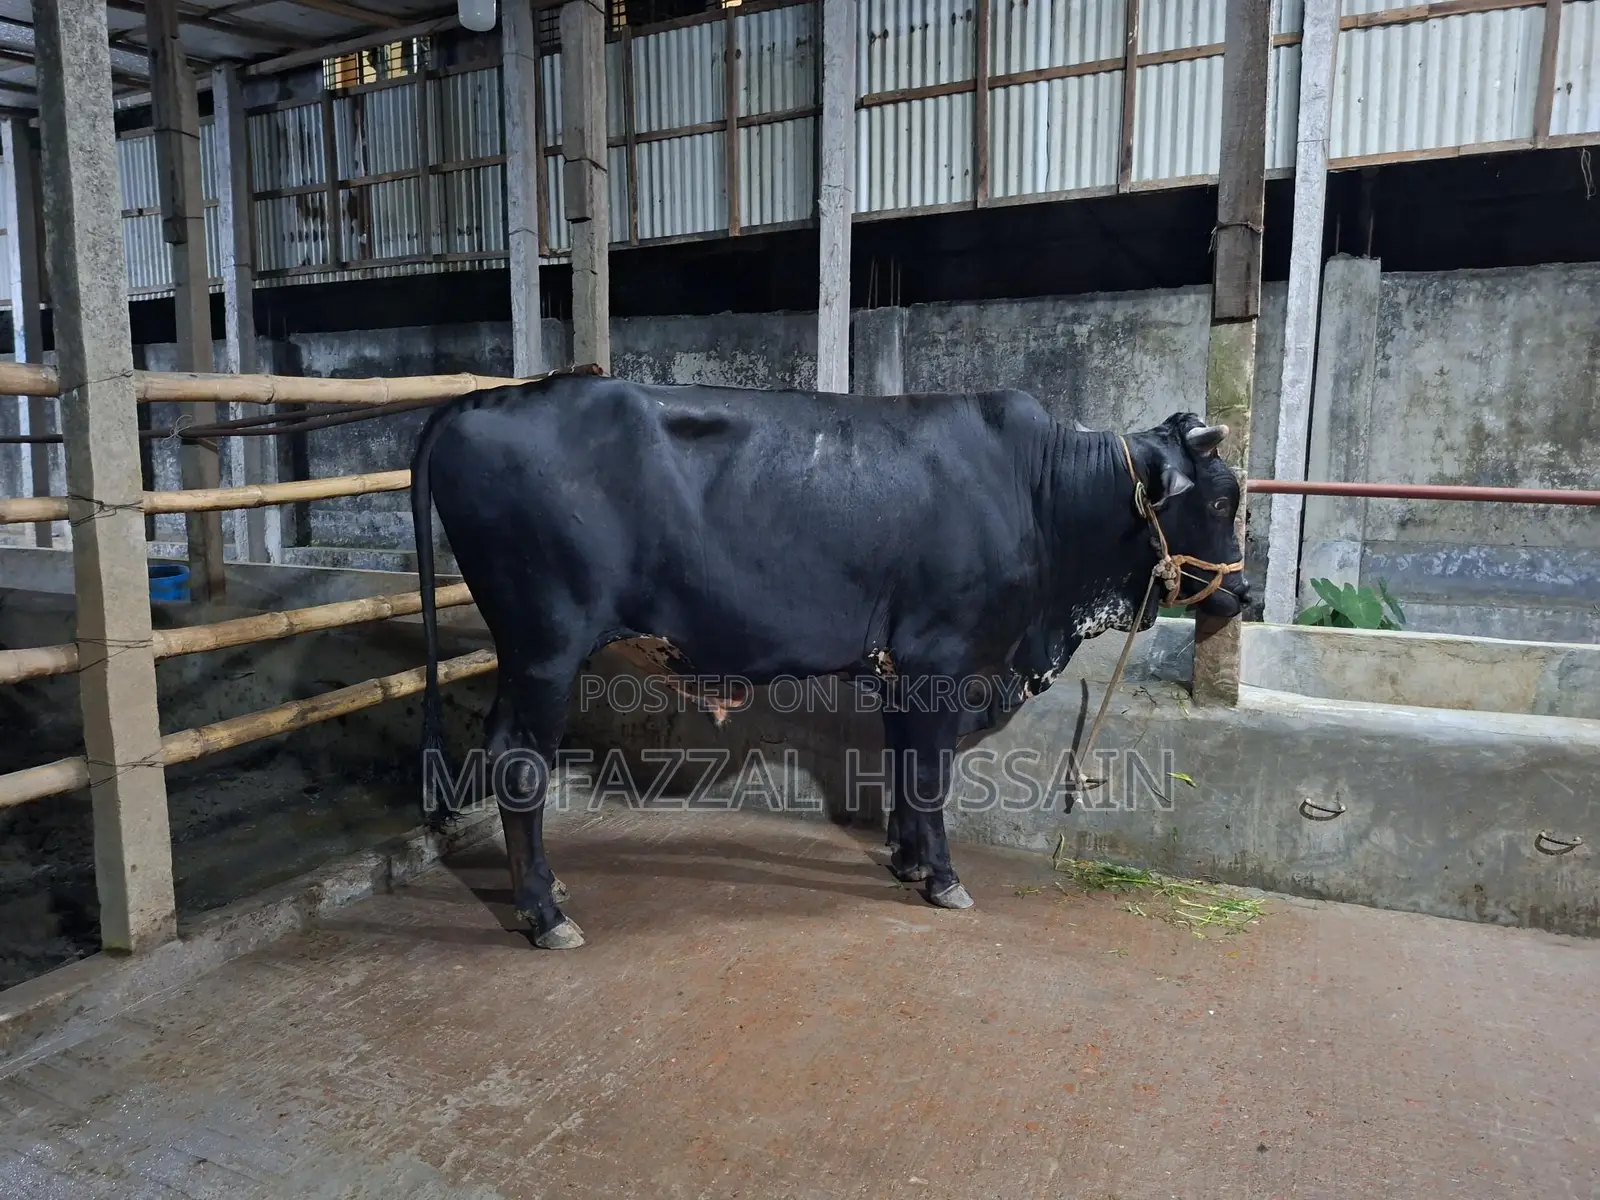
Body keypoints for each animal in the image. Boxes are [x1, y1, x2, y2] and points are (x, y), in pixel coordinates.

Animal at [409, 371, 1247, 950]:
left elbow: (905, 763)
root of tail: (481, 400)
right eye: (1216, 501)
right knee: (519, 759)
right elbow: (931, 772)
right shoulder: (940, 657)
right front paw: (944, 877)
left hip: (523, 652)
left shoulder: (902, 669)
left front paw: (909, 862)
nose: (1241, 593)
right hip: (547, 646)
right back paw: (545, 913)